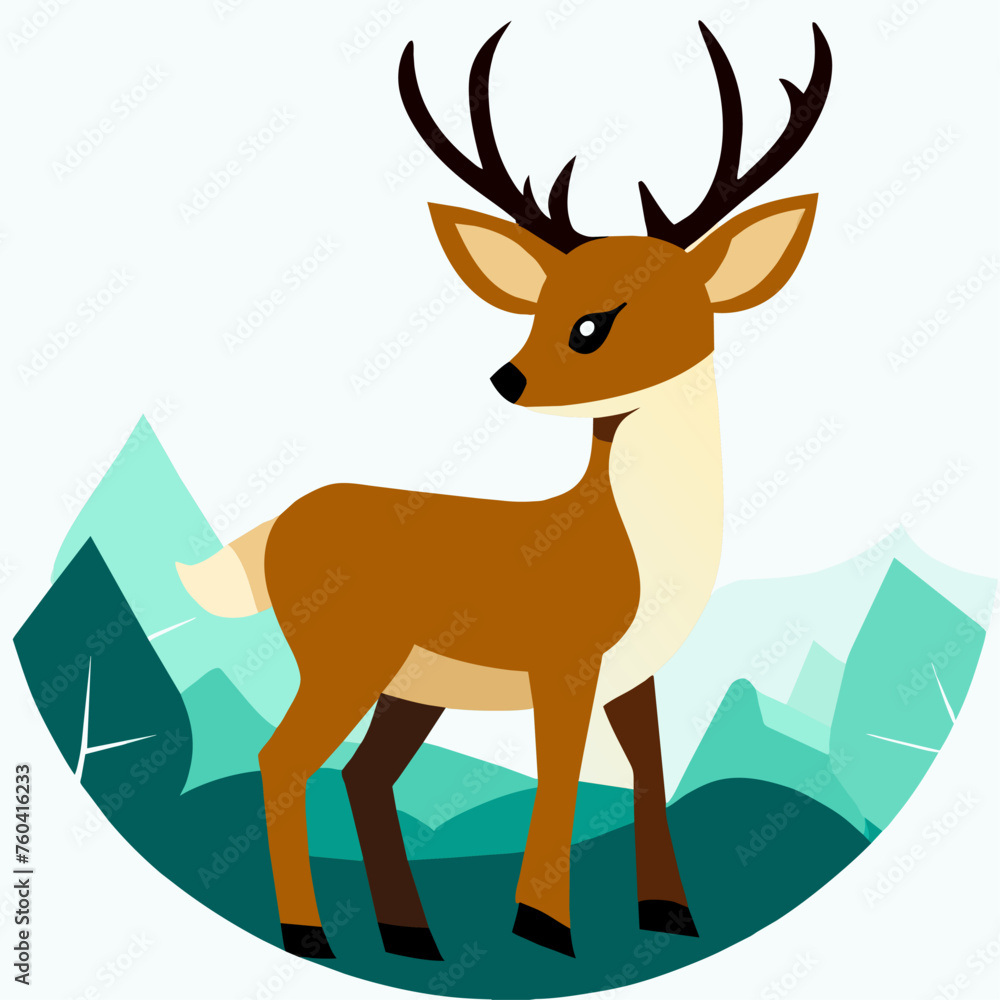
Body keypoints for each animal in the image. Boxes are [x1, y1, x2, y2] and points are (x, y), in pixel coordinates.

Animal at [176, 21, 831, 963]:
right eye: (540, 303)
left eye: (597, 321)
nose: (508, 377)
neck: (640, 545)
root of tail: (277, 528)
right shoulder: (563, 657)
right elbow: (561, 774)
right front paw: (545, 924)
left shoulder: (635, 671)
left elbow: (650, 769)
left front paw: (670, 913)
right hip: (344, 656)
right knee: (284, 758)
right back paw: (309, 934)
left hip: (410, 683)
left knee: (362, 774)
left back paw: (410, 934)